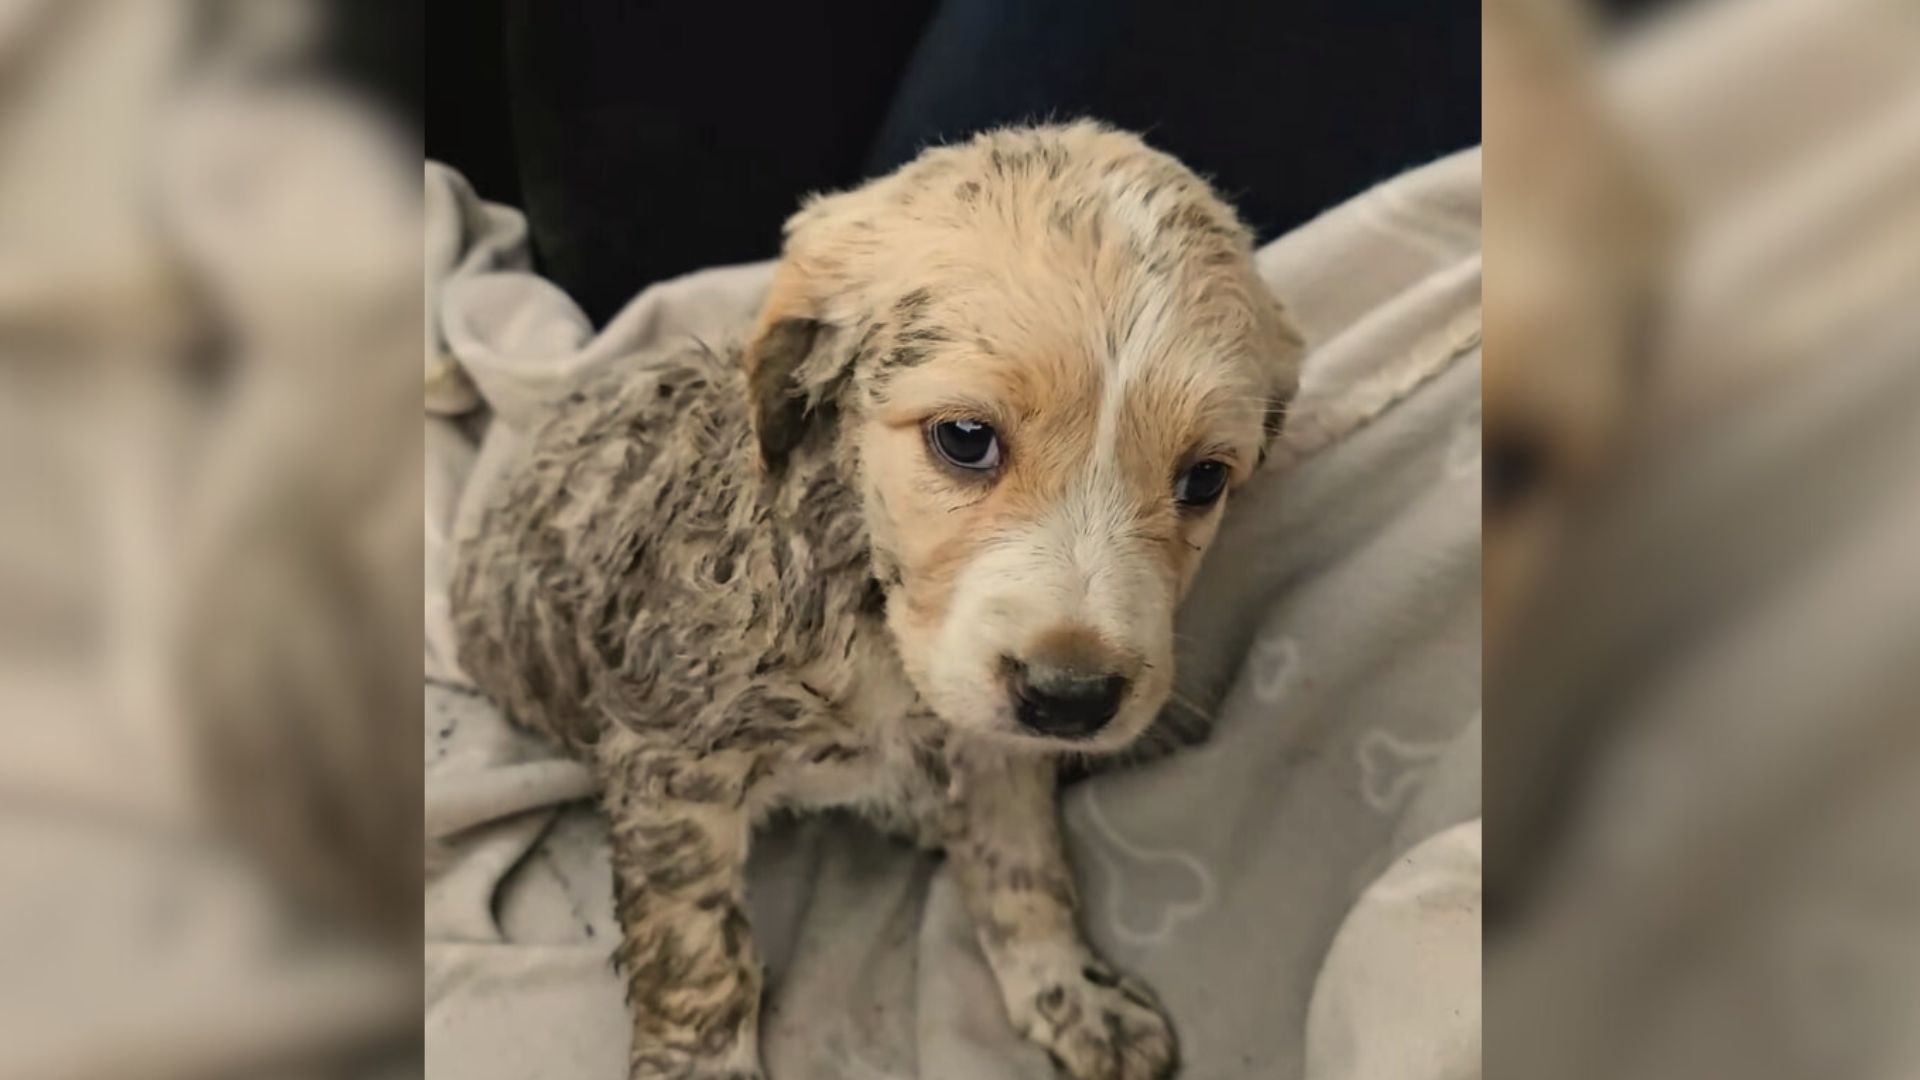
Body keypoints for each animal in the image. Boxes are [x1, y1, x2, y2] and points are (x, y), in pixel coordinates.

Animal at [453, 119, 1305, 1076]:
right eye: (965, 438)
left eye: (1204, 479)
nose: (1072, 700)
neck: (874, 622)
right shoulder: (669, 760)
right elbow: (698, 954)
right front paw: (703, 1060)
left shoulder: (996, 750)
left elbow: (1024, 871)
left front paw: (1068, 993)